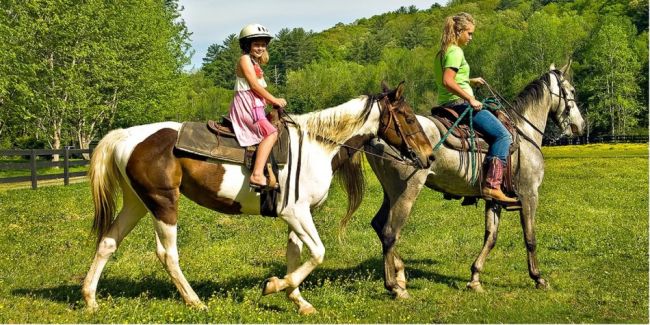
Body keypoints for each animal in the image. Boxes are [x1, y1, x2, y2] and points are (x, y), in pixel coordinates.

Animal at [83, 82, 432, 312]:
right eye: (409, 118)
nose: (428, 157)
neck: (317, 145)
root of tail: (127, 136)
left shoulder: (297, 215)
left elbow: (295, 254)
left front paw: (297, 300)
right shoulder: (296, 212)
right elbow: (317, 253)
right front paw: (275, 285)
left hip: (137, 203)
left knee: (108, 243)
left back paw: (90, 299)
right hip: (163, 203)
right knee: (167, 254)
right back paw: (195, 302)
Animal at [364, 62, 584, 298]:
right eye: (571, 91)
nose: (580, 126)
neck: (524, 134)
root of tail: (377, 136)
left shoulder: (495, 199)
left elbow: (491, 237)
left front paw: (475, 278)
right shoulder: (529, 195)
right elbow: (530, 238)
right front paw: (538, 278)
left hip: (390, 193)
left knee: (378, 225)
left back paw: (400, 274)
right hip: (406, 192)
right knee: (389, 232)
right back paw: (395, 286)